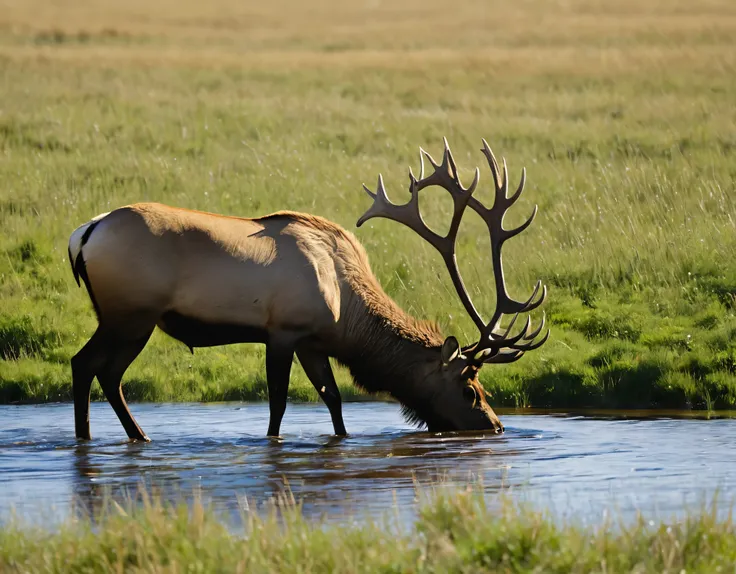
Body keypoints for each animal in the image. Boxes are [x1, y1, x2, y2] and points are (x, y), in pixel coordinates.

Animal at [69, 138, 548, 440]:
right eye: (470, 389)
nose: (495, 426)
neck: (345, 312)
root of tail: (84, 234)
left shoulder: (312, 342)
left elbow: (333, 399)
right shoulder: (283, 330)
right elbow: (278, 403)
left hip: (127, 318)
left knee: (105, 373)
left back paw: (131, 438)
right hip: (131, 313)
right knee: (87, 364)